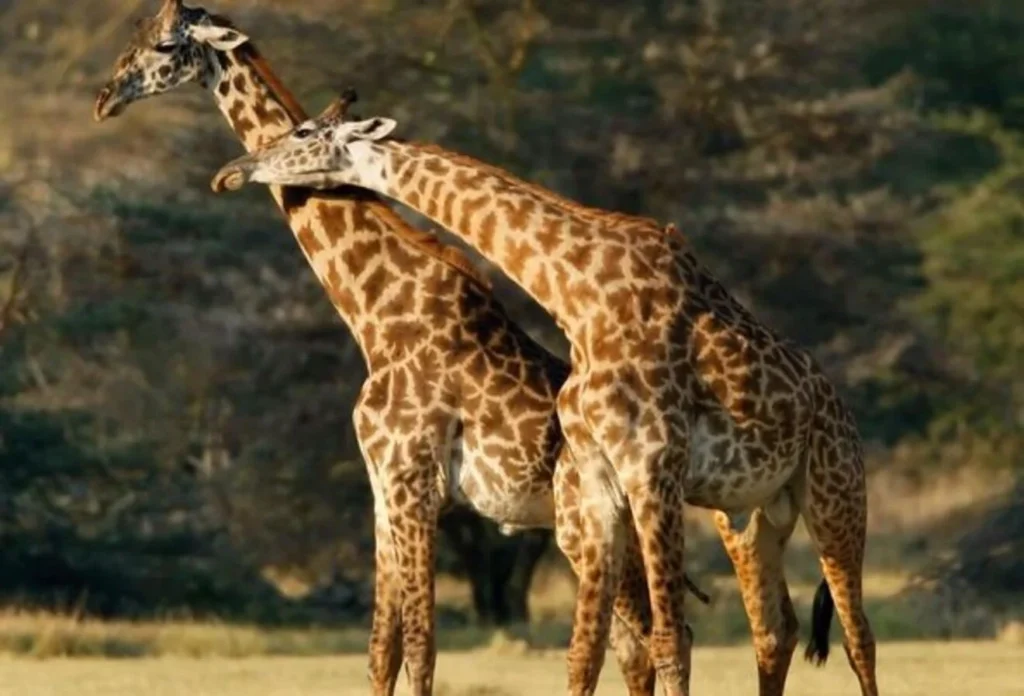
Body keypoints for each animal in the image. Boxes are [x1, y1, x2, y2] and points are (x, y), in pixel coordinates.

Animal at [92, 3, 707, 695]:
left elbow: (420, 647)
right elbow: (381, 650)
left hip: (593, 523)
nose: (104, 99)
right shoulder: (382, 489)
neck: (377, 315)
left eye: (164, 44)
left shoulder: (412, 482)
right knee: (638, 643)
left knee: (661, 636)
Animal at [211, 93, 880, 696]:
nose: (231, 170)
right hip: (750, 516)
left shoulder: (649, 468)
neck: (575, 295)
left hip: (834, 493)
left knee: (857, 636)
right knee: (775, 629)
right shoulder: (597, 480)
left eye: (302, 132)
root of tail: (843, 412)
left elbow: (667, 642)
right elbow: (584, 652)